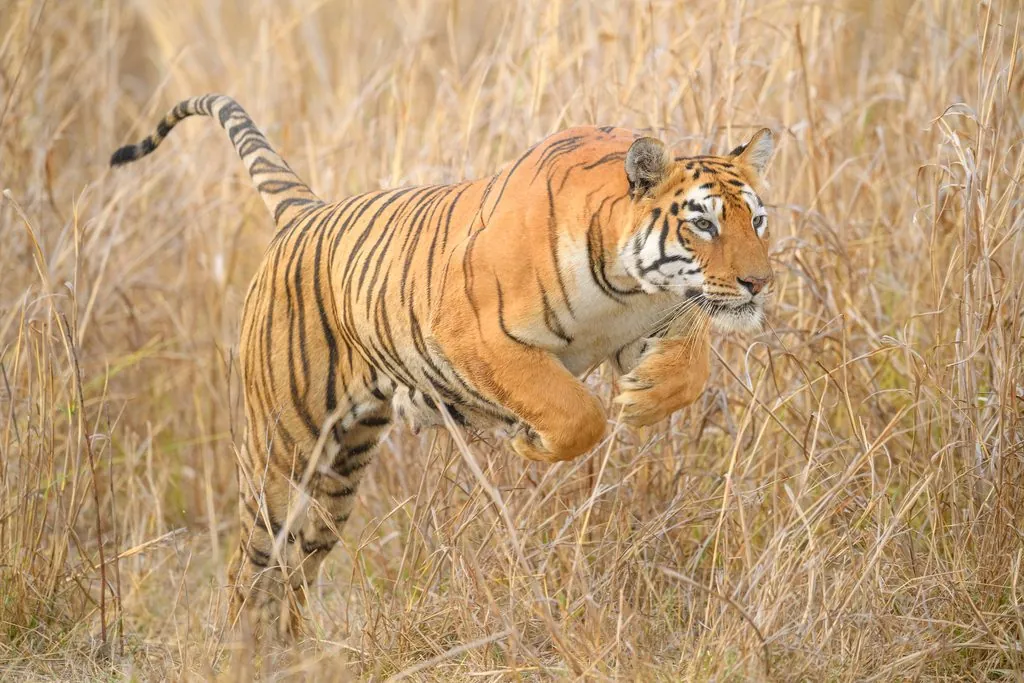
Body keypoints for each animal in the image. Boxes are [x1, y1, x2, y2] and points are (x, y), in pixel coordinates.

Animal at [109, 93, 775, 640]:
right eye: (703, 223)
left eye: (758, 220)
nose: (760, 283)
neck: (627, 288)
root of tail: (306, 212)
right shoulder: (472, 336)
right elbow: (573, 408)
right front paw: (534, 443)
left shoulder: (665, 316)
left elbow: (691, 370)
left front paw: (642, 396)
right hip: (283, 452)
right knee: (250, 566)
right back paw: (240, 650)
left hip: (338, 475)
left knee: (296, 570)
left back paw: (292, 653)